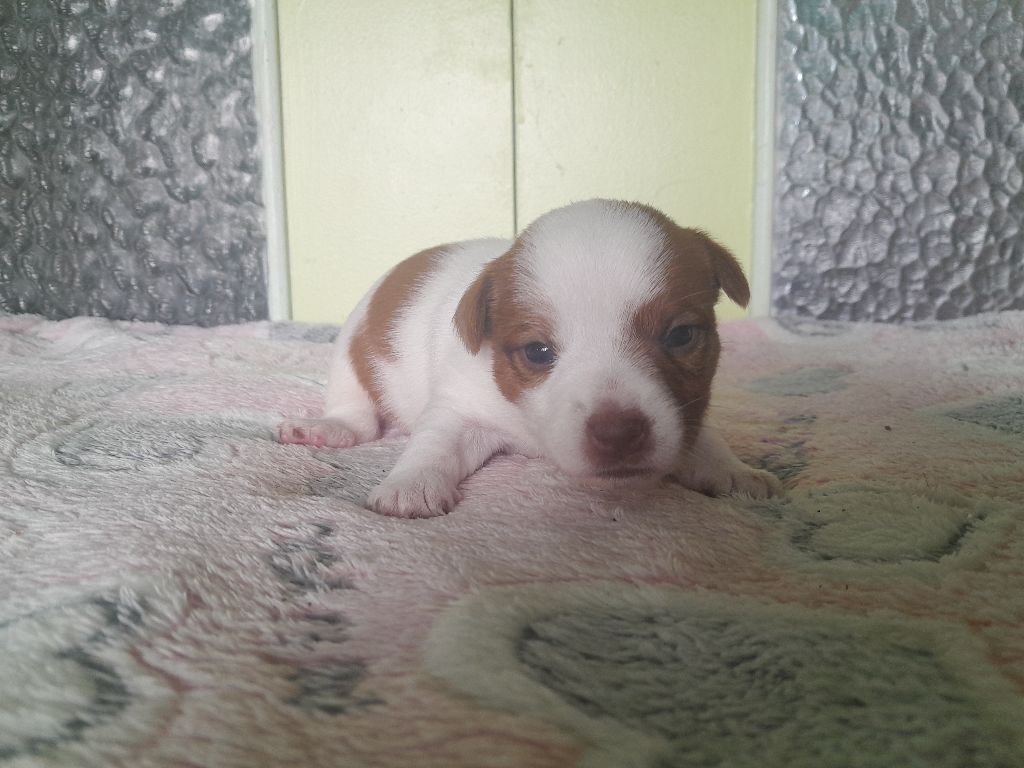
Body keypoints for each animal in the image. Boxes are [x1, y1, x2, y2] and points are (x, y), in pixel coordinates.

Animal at [280, 199, 782, 517]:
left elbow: (702, 438)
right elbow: (434, 444)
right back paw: (326, 428)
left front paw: (734, 470)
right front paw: (411, 484)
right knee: (358, 415)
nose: (618, 433)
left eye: (680, 336)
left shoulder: (684, 413)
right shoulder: (462, 407)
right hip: (349, 353)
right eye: (539, 352)